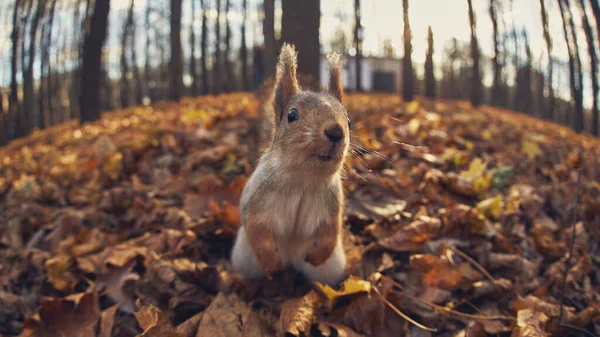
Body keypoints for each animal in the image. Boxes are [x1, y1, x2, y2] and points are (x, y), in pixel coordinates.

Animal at [231, 43, 352, 284]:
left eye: (349, 120)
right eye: (292, 114)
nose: (336, 132)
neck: (303, 178)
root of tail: (291, 259)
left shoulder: (331, 206)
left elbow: (331, 230)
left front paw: (319, 254)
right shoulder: (257, 199)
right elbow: (256, 228)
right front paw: (271, 261)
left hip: (329, 267)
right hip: (245, 258)